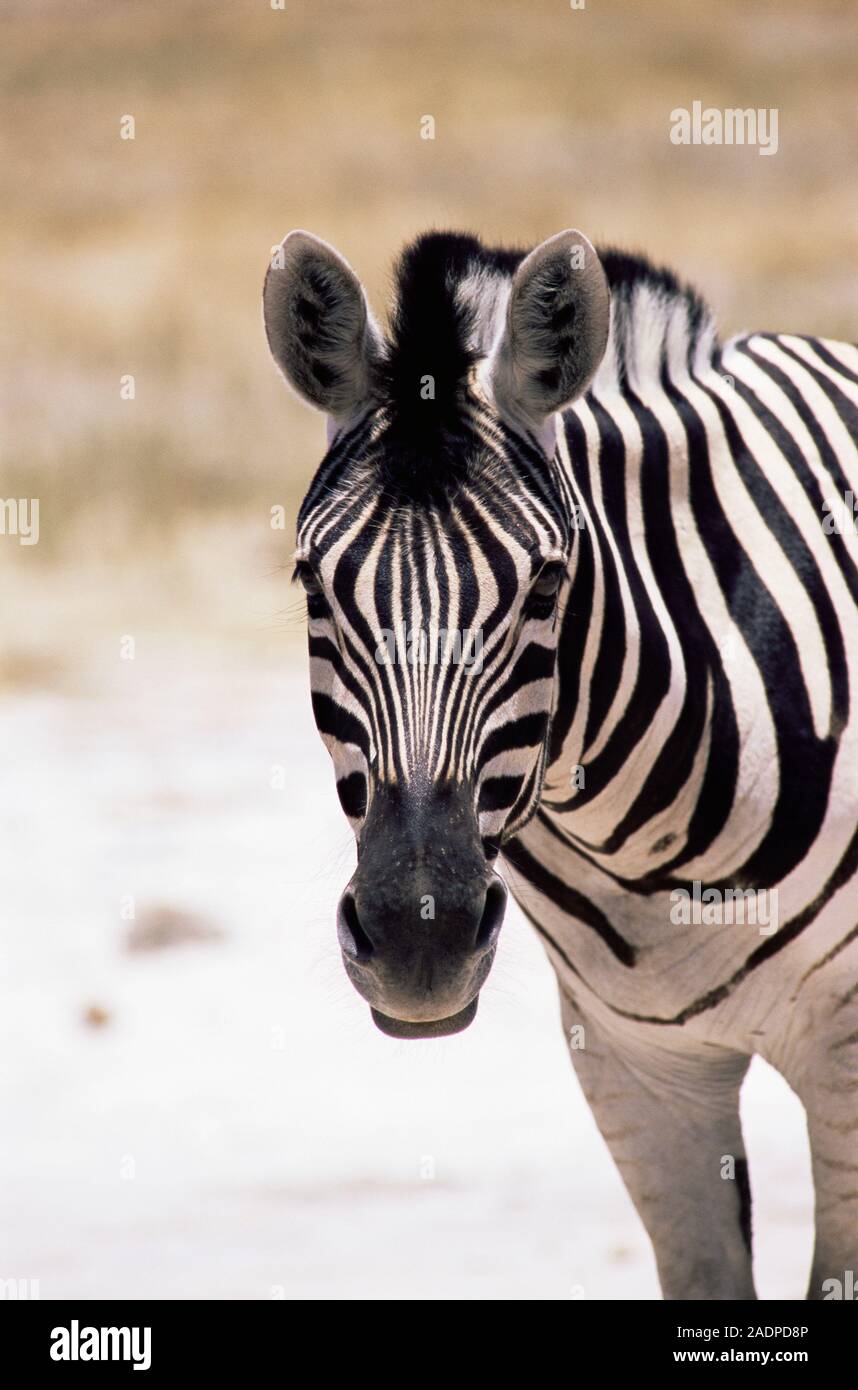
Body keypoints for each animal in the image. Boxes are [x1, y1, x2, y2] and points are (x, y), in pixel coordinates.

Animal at [262, 226, 858, 1300]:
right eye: (313, 585)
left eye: (546, 584)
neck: (656, 851)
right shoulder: (636, 1067)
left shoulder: (845, 1058)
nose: (418, 946)